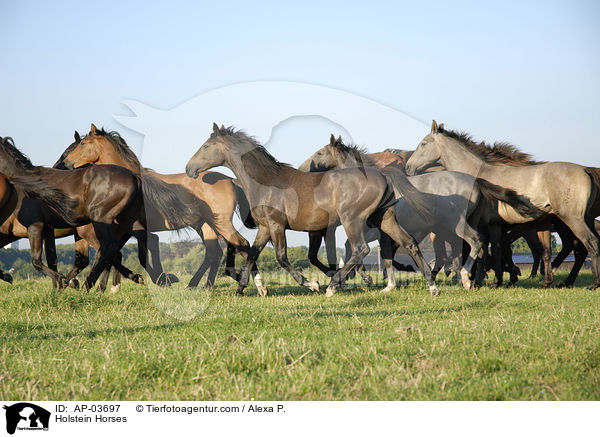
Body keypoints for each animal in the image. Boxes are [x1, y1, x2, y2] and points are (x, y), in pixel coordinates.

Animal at [61, 124, 255, 288]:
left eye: (82, 143)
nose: (65, 163)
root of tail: (230, 180)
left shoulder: (133, 228)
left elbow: (137, 253)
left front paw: (162, 279)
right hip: (206, 226)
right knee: (215, 253)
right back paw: (201, 285)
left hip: (219, 223)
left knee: (233, 247)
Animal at [185, 122, 442, 296]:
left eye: (206, 146)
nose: (189, 169)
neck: (266, 181)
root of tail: (381, 174)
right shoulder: (265, 227)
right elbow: (252, 253)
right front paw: (245, 289)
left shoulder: (278, 226)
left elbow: (282, 258)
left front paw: (312, 284)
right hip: (384, 219)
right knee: (409, 242)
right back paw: (431, 286)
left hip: (352, 220)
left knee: (360, 249)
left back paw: (333, 285)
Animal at [404, 121, 600, 288]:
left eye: (423, 144)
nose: (408, 167)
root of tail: (586, 171)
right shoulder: (495, 225)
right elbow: (497, 250)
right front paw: (499, 279)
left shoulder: (486, 225)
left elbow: (485, 250)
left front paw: (482, 280)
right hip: (579, 220)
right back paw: (561, 281)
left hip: (572, 220)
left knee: (589, 244)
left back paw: (592, 283)